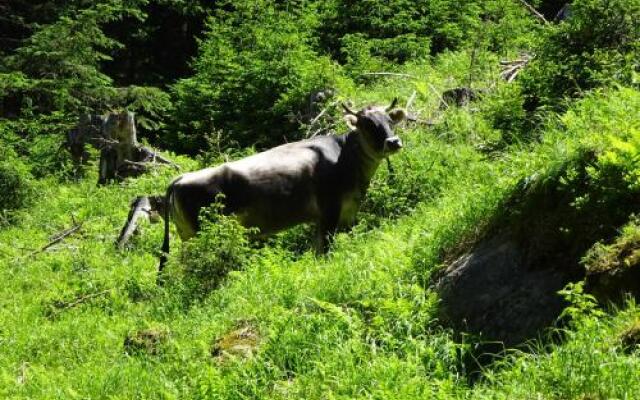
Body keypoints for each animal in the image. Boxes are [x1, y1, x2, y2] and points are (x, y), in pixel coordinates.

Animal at [158, 99, 408, 272]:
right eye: (367, 125)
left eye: (389, 121)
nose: (393, 142)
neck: (345, 157)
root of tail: (180, 179)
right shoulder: (330, 210)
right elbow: (325, 248)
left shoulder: (342, 212)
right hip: (202, 233)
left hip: (187, 235)